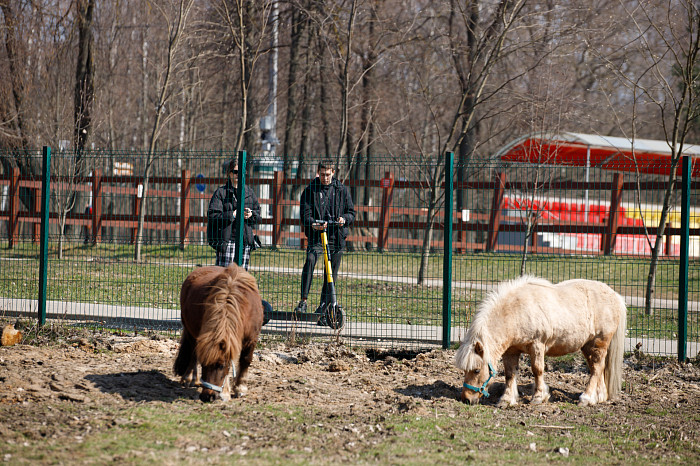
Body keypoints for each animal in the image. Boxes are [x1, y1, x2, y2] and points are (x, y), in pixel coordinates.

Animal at [174, 264, 264, 402]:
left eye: (221, 366)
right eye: (204, 365)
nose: (207, 396)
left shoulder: (252, 338)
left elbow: (245, 360)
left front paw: (240, 388)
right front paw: (226, 392)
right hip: (190, 331)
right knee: (193, 354)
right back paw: (189, 378)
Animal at [454, 276, 628, 408]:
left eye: (476, 370)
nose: (466, 399)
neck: (517, 311)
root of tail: (615, 296)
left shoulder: (537, 345)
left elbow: (537, 370)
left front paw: (539, 397)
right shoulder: (511, 351)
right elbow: (510, 374)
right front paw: (506, 400)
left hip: (598, 343)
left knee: (597, 369)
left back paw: (586, 398)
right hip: (587, 346)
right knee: (598, 368)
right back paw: (599, 397)